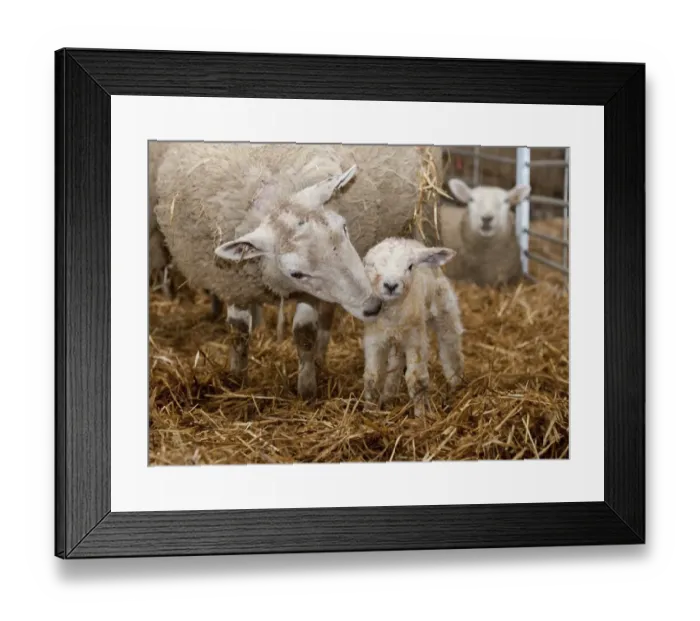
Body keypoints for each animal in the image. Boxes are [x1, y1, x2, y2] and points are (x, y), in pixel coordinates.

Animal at [152, 142, 442, 399]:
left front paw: (306, 390)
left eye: (344, 228)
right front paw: (236, 379)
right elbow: (238, 332)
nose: (372, 306)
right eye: (296, 273)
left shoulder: (309, 294)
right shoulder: (233, 282)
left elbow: (304, 334)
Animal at [361, 237, 465, 417]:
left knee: (450, 343)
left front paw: (420, 416)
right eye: (372, 266)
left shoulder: (415, 339)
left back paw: (455, 383)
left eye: (410, 266)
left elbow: (416, 380)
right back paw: (389, 395)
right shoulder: (374, 339)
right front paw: (370, 411)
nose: (391, 285)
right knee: (396, 364)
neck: (394, 312)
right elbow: (372, 378)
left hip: (444, 308)